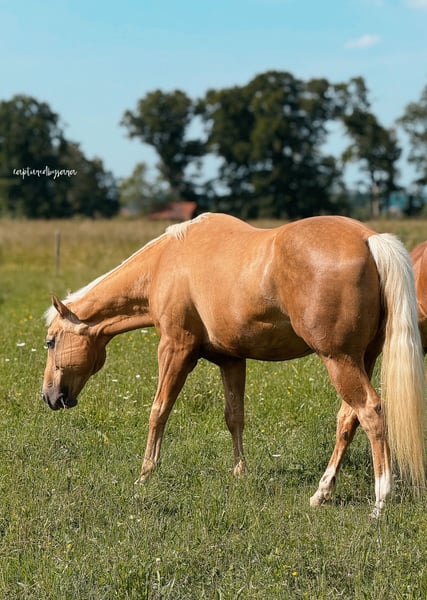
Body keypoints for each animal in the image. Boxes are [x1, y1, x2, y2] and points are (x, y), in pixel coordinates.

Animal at [42, 213, 425, 517]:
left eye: (50, 341)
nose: (49, 396)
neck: (166, 261)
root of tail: (368, 239)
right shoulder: (231, 360)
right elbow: (234, 416)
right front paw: (240, 471)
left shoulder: (175, 349)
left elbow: (159, 411)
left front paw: (145, 473)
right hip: (360, 359)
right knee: (348, 418)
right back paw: (322, 493)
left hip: (339, 360)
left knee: (371, 412)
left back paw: (380, 501)